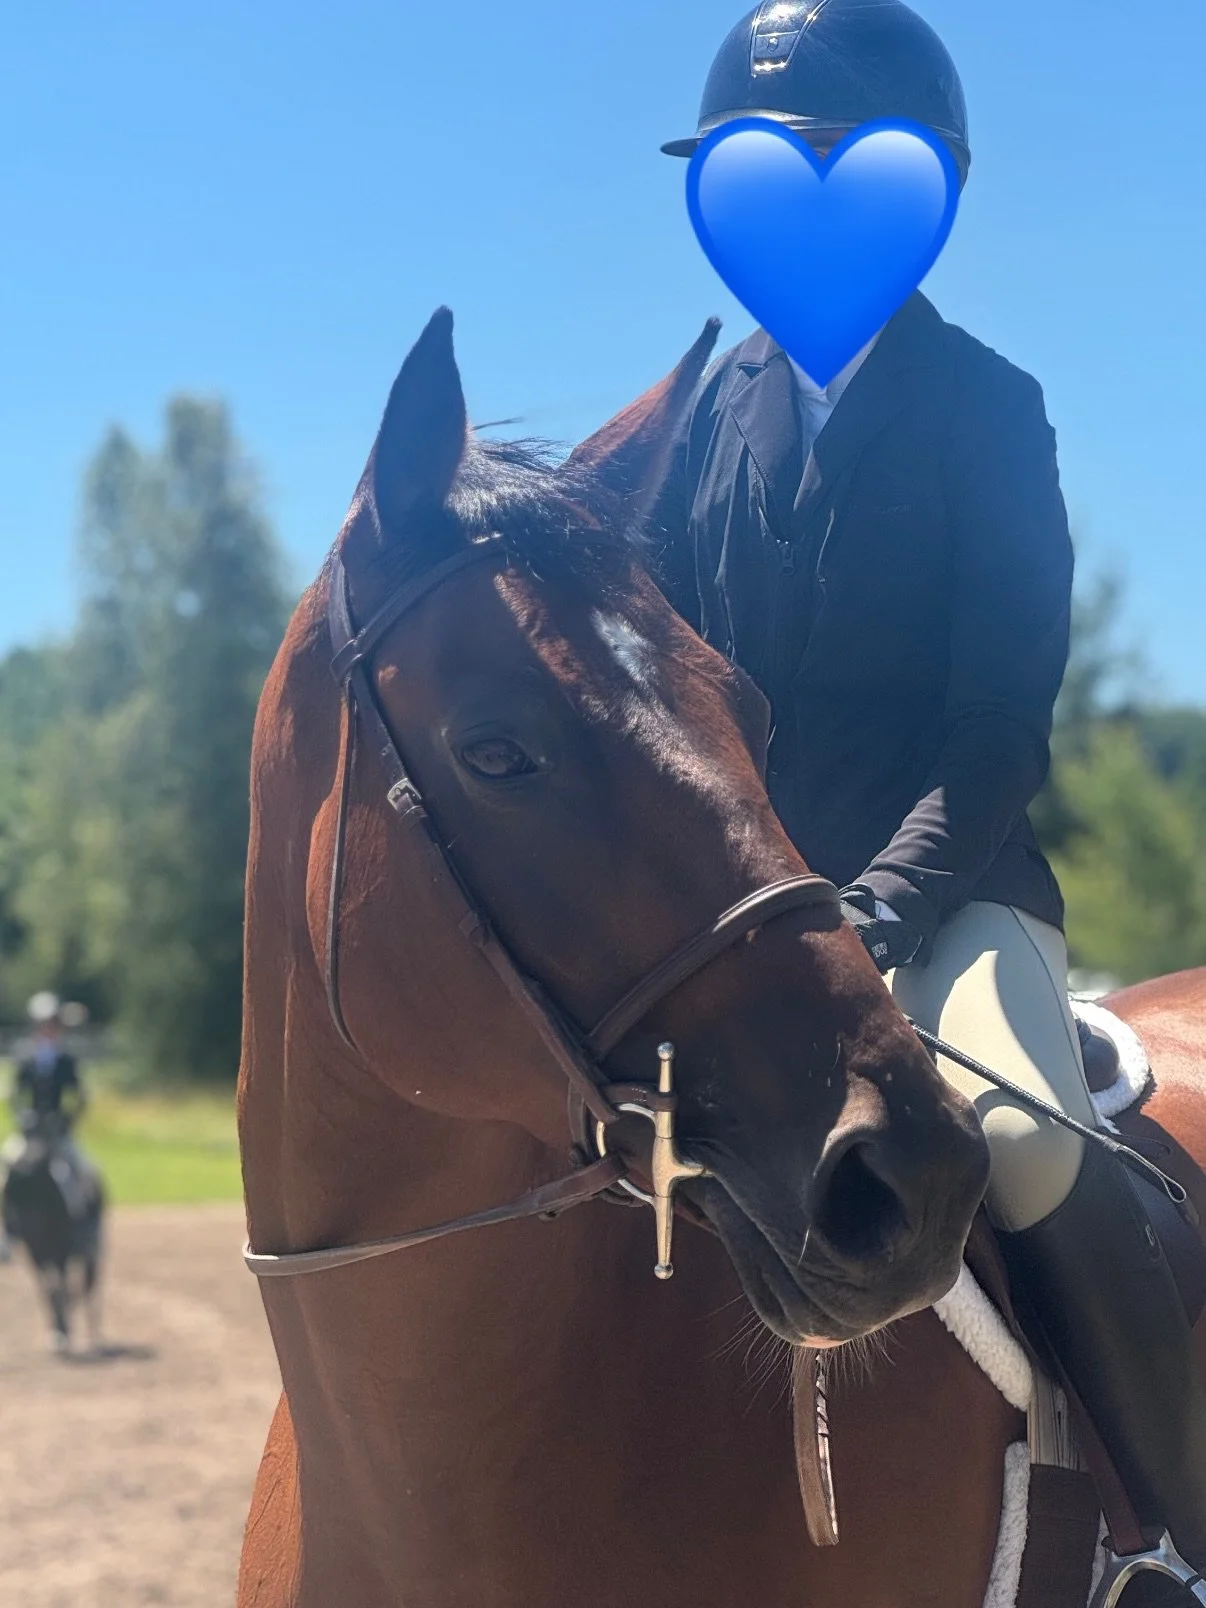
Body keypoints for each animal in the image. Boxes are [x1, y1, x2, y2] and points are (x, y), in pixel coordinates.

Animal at [3, 1113, 104, 1356]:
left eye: (36, 1193)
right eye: (8, 1195)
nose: (13, 1232)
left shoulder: (62, 1254)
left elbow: (61, 1287)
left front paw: (63, 1331)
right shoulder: (37, 1255)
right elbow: (47, 1289)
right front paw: (58, 1331)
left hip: (93, 1250)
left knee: (89, 1288)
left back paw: (94, 1338)